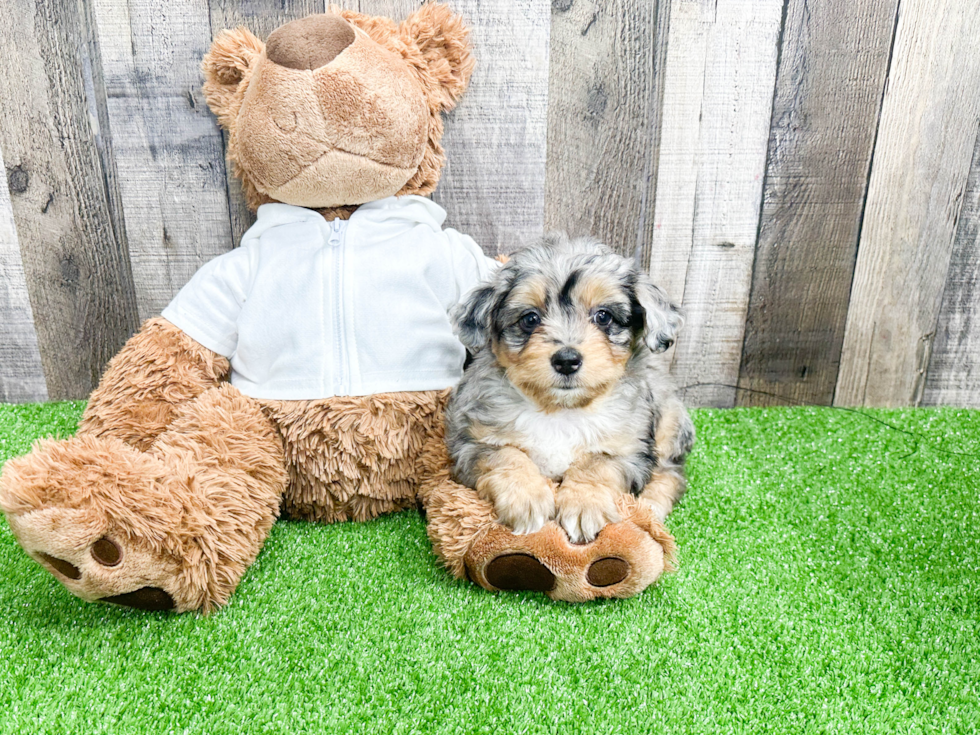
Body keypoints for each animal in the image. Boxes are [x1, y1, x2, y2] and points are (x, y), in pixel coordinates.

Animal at [448, 233, 692, 544]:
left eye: (603, 316)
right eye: (530, 319)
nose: (566, 360)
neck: (561, 411)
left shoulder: (630, 449)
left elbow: (596, 464)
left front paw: (585, 505)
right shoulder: (471, 443)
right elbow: (507, 456)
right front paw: (526, 498)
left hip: (669, 425)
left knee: (672, 474)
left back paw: (650, 507)